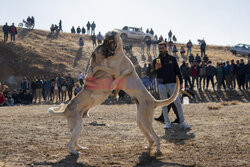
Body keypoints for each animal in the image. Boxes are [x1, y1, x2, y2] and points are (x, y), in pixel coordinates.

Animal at [47, 30, 179, 155]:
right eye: (102, 45)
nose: (109, 34)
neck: (117, 55)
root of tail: (154, 100)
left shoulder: (116, 71)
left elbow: (112, 73)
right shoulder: (112, 72)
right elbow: (104, 71)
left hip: (142, 121)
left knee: (154, 137)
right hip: (136, 122)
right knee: (70, 143)